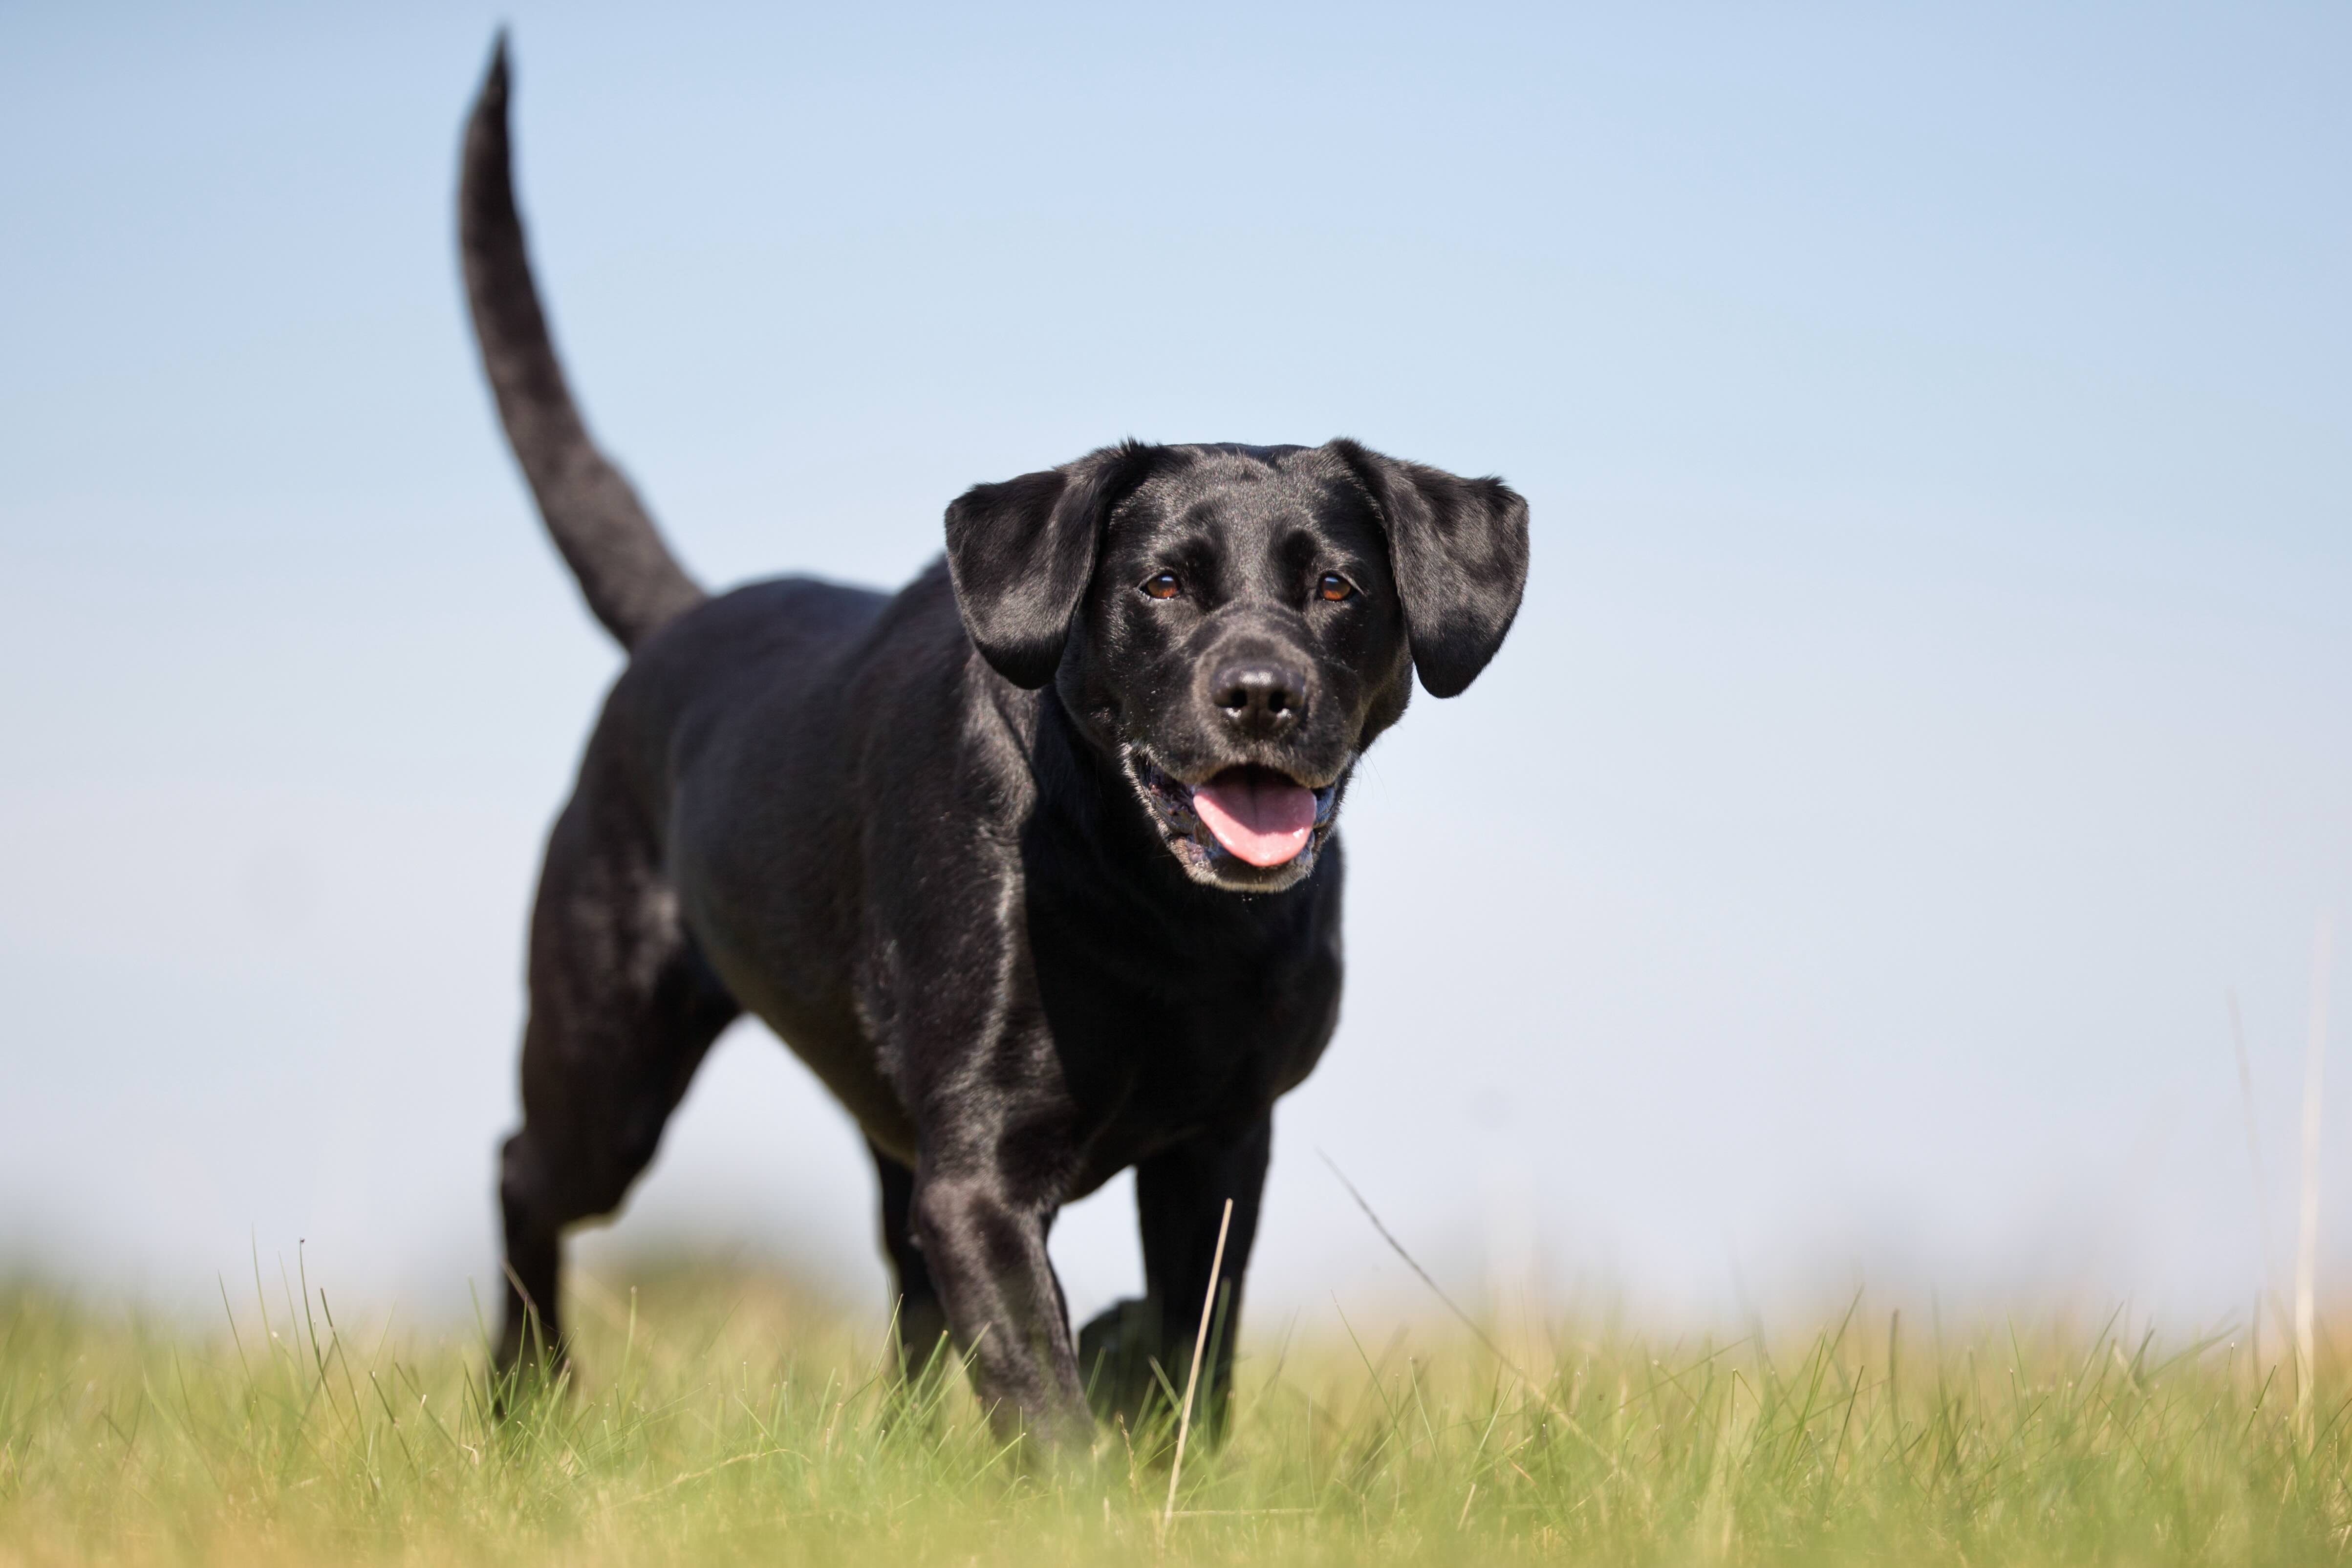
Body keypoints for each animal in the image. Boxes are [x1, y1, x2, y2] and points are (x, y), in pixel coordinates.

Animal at [456, 40, 1524, 1448]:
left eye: (1338, 588)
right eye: (1164, 583)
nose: (1260, 694)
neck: (1163, 915)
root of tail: (682, 621)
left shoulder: (1222, 1145)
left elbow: (1186, 1342)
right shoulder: (978, 1173)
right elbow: (1039, 1383)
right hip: (608, 1057)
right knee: (523, 1172)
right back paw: (525, 1400)